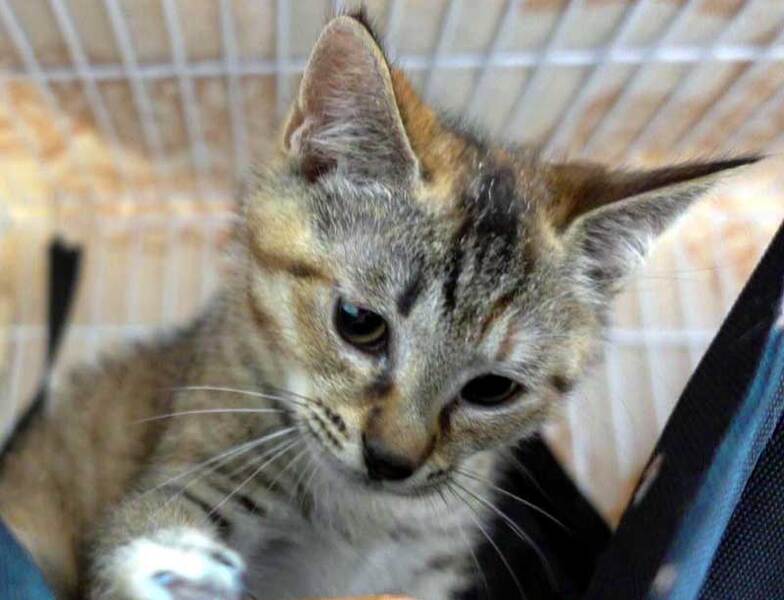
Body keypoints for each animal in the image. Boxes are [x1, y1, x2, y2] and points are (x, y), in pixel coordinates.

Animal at [0, 11, 758, 600]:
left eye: (492, 389)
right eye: (359, 325)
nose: (391, 460)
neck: (361, 519)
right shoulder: (195, 469)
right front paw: (166, 568)